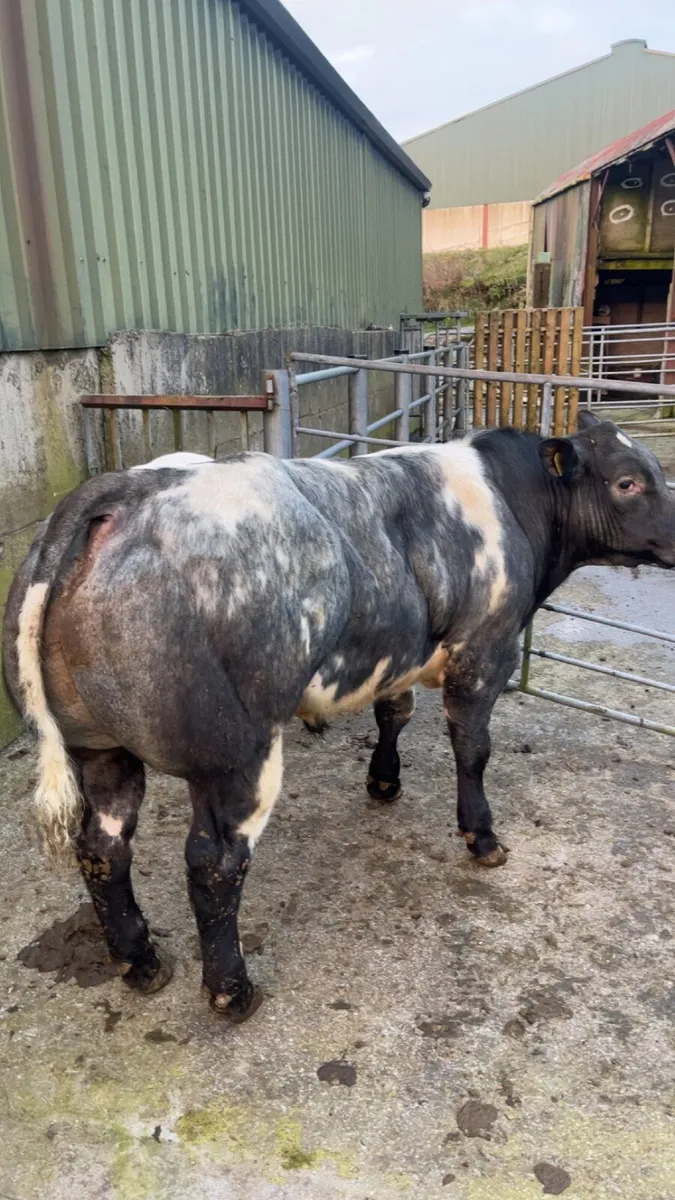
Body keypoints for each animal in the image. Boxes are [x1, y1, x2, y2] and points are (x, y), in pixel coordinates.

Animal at [3, 414, 674, 1022]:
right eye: (628, 481)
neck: (511, 499)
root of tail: (122, 488)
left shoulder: (400, 653)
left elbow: (394, 712)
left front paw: (384, 780)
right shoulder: (485, 654)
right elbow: (473, 748)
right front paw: (482, 838)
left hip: (99, 745)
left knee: (103, 846)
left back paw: (141, 963)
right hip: (235, 755)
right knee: (214, 864)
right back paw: (231, 992)